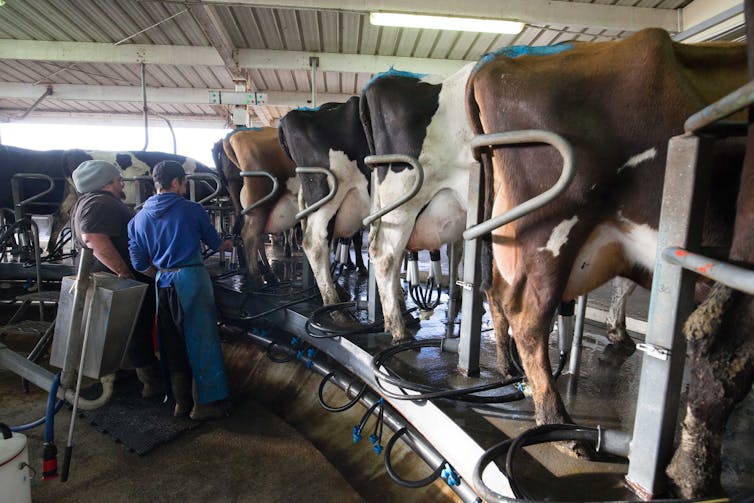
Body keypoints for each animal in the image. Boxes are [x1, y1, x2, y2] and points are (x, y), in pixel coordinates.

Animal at [464, 29, 748, 498]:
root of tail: (496, 61)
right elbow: (726, 359)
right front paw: (693, 475)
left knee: (498, 296)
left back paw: (510, 372)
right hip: (552, 225)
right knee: (527, 315)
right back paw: (561, 429)